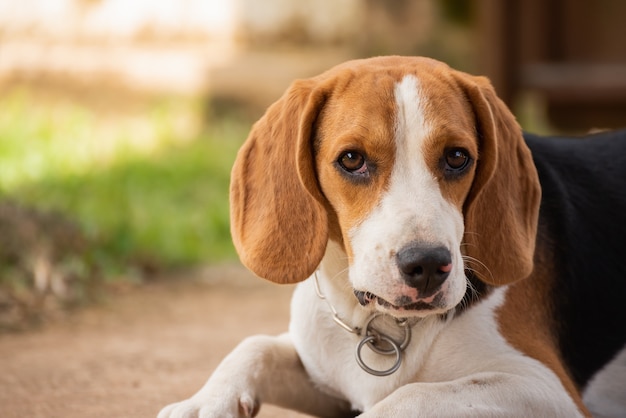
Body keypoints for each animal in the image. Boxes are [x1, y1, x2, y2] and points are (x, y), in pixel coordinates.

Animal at [157, 56, 624, 418]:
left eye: (458, 157)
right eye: (351, 159)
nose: (428, 266)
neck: (380, 323)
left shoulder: (546, 388)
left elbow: (408, 396)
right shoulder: (323, 367)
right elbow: (255, 345)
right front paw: (205, 401)